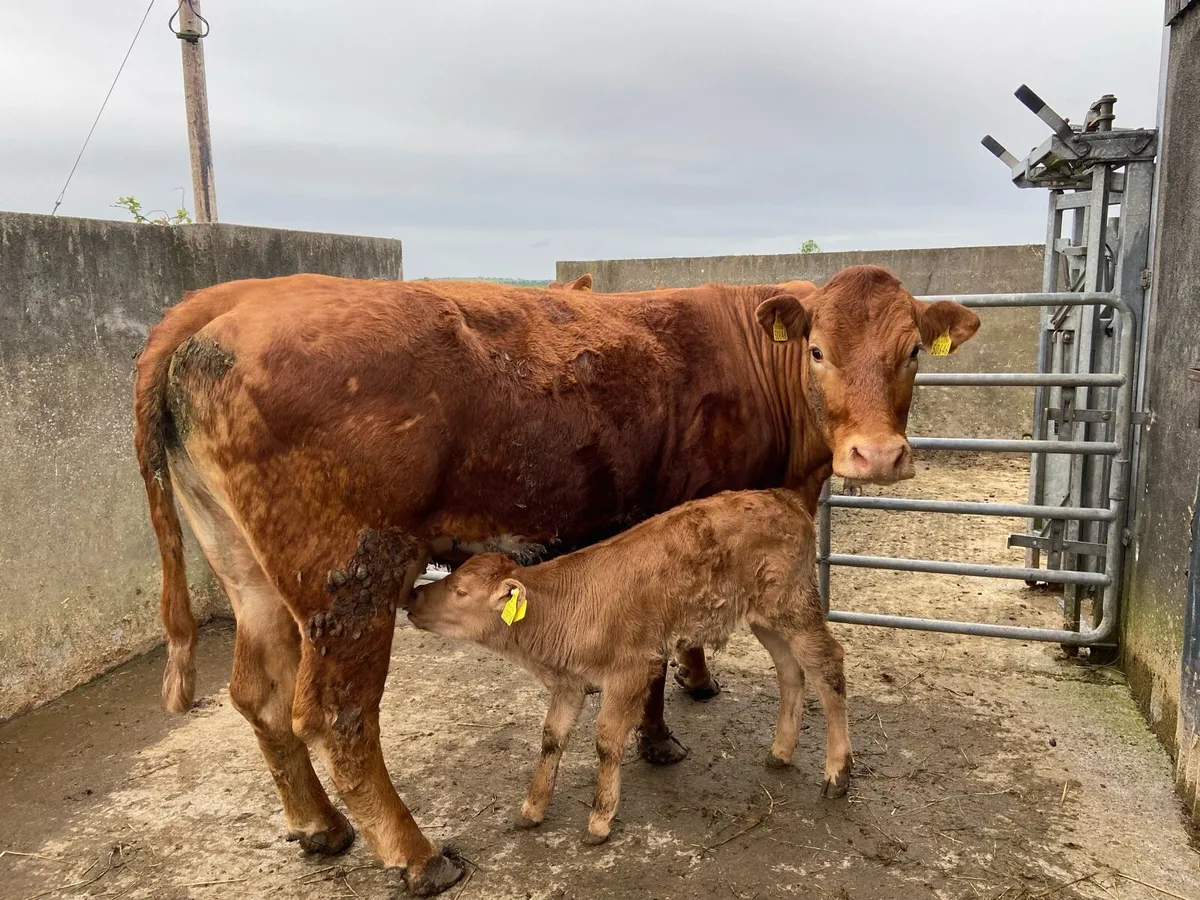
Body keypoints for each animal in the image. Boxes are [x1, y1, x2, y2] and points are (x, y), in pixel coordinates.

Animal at [405, 488, 849, 844]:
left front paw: (599, 820)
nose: (413, 597)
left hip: (795, 606)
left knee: (828, 668)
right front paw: (532, 807)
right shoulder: (568, 683)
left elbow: (606, 741)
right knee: (790, 671)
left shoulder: (631, 671)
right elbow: (552, 738)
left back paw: (837, 773)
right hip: (764, 617)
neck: (562, 610)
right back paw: (781, 750)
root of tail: (783, 497)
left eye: (461, 591)